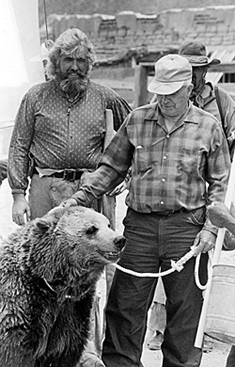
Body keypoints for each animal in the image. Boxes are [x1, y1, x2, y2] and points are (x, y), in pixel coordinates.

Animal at [0, 207, 125, 367]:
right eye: (91, 229)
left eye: (108, 224)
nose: (119, 240)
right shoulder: (20, 310)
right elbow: (15, 355)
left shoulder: (72, 313)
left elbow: (64, 351)